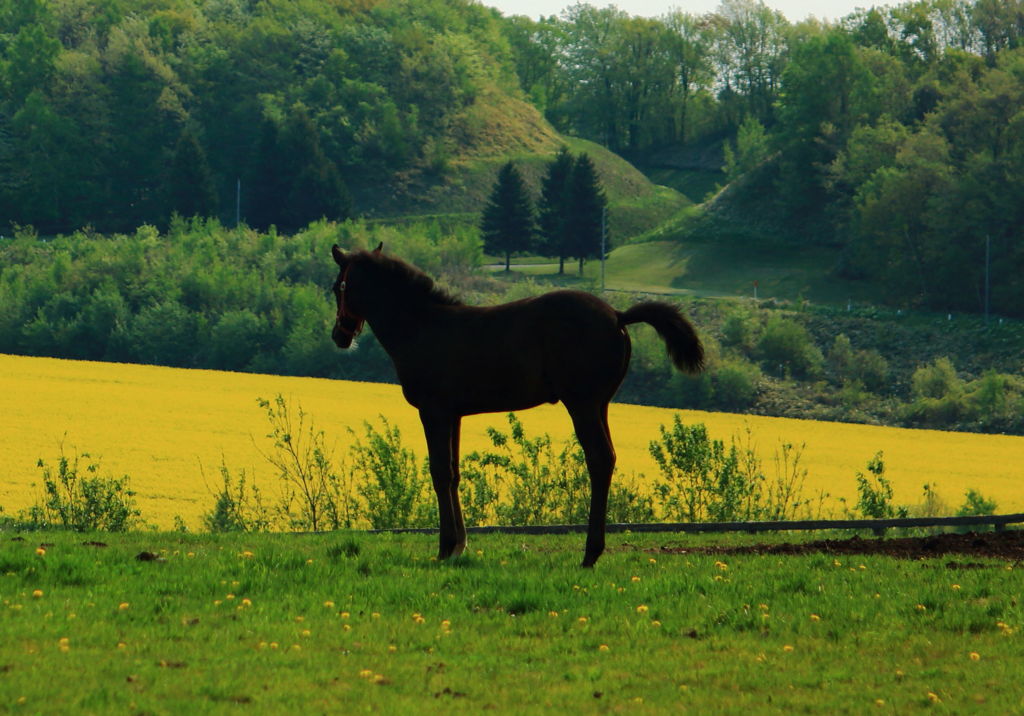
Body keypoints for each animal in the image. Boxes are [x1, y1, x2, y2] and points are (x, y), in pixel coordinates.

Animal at [331, 243, 700, 569]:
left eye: (338, 287)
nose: (339, 336)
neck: (422, 326)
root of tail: (617, 315)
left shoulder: (433, 412)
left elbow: (439, 473)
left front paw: (445, 547)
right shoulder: (453, 414)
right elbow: (454, 473)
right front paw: (460, 546)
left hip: (581, 403)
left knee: (599, 459)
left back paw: (590, 553)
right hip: (601, 404)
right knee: (606, 459)